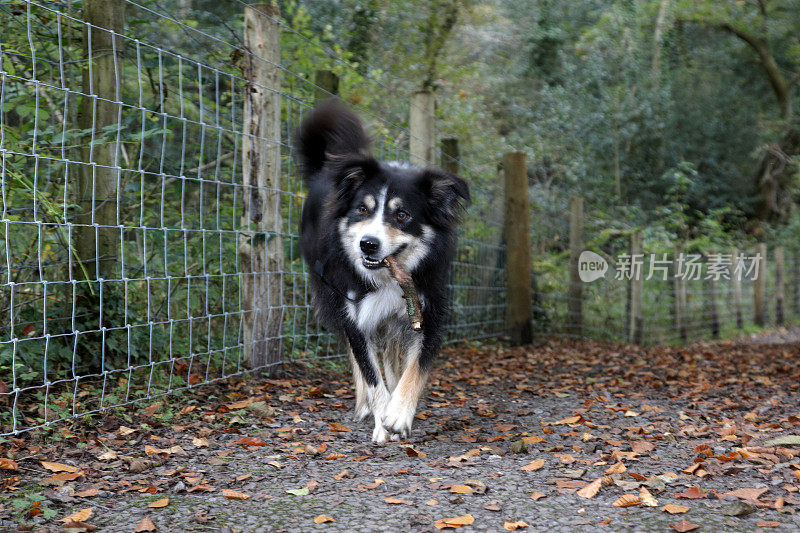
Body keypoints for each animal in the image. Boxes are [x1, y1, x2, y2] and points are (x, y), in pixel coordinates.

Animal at [296, 102, 468, 442]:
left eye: (402, 215)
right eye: (362, 209)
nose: (368, 244)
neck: (389, 279)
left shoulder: (427, 314)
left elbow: (414, 369)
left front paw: (398, 414)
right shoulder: (354, 314)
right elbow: (370, 373)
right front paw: (381, 418)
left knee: (390, 357)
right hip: (333, 296)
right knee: (358, 356)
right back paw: (365, 405)